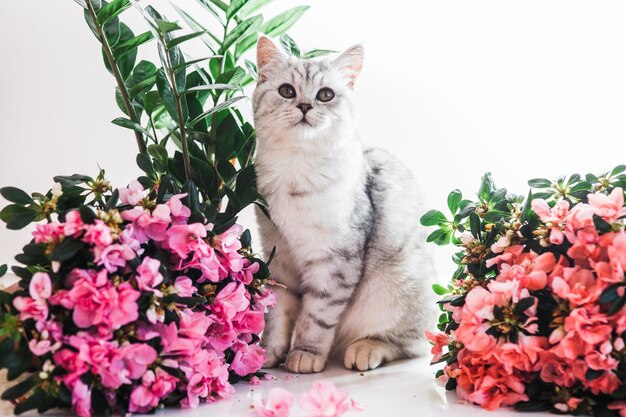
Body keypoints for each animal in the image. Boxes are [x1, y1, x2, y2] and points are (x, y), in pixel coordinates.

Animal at [250, 35, 434, 372]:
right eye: (287, 91)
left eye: (325, 95)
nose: (305, 105)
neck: (295, 171)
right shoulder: (277, 256)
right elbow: (278, 312)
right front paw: (268, 351)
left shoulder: (334, 260)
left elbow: (316, 316)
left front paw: (305, 354)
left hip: (393, 290)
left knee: (410, 344)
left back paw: (365, 349)